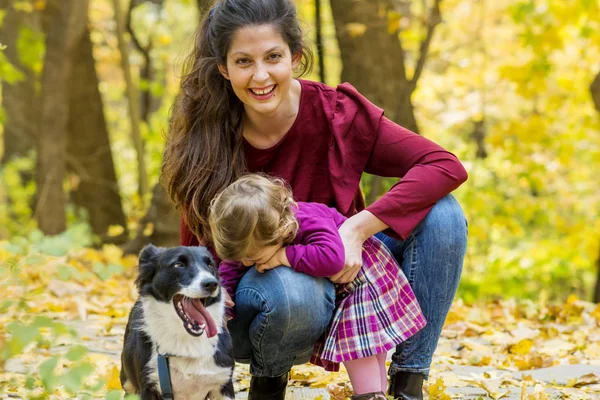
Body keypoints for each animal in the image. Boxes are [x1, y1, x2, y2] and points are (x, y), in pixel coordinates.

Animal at [120, 244, 234, 400]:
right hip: (127, 382)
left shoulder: (224, 385)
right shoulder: (148, 386)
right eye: (178, 264)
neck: (187, 341)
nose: (212, 284)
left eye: (210, 265)